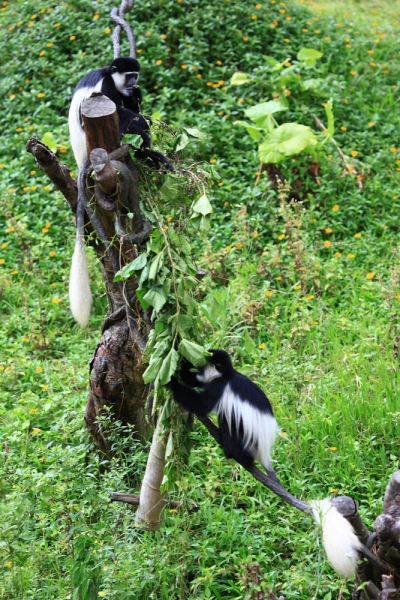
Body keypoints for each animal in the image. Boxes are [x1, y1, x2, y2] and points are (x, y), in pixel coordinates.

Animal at [169, 350, 362, 580]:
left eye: (207, 364)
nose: (198, 367)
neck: (228, 376)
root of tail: (264, 454)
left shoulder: (219, 388)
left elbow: (201, 404)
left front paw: (171, 382)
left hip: (246, 438)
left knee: (230, 421)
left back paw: (233, 452)